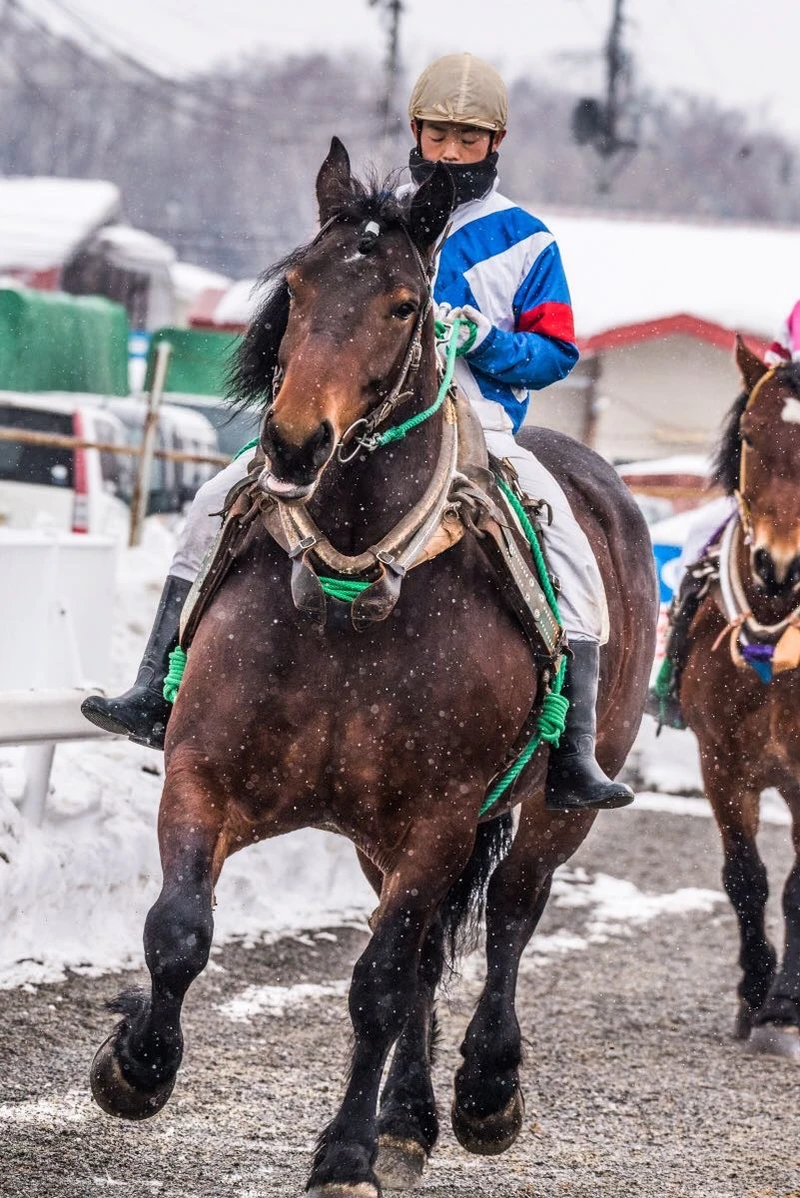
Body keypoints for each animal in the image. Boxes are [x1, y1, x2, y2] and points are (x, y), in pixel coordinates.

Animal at [90, 137, 661, 1188]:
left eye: (403, 304)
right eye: (299, 286)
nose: (293, 442)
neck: (354, 581)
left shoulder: (436, 819)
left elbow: (382, 984)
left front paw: (346, 1153)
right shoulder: (205, 774)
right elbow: (179, 929)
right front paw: (136, 1065)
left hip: (549, 813)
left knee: (512, 918)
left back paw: (482, 1092)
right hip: (376, 841)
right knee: (438, 954)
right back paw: (409, 1117)